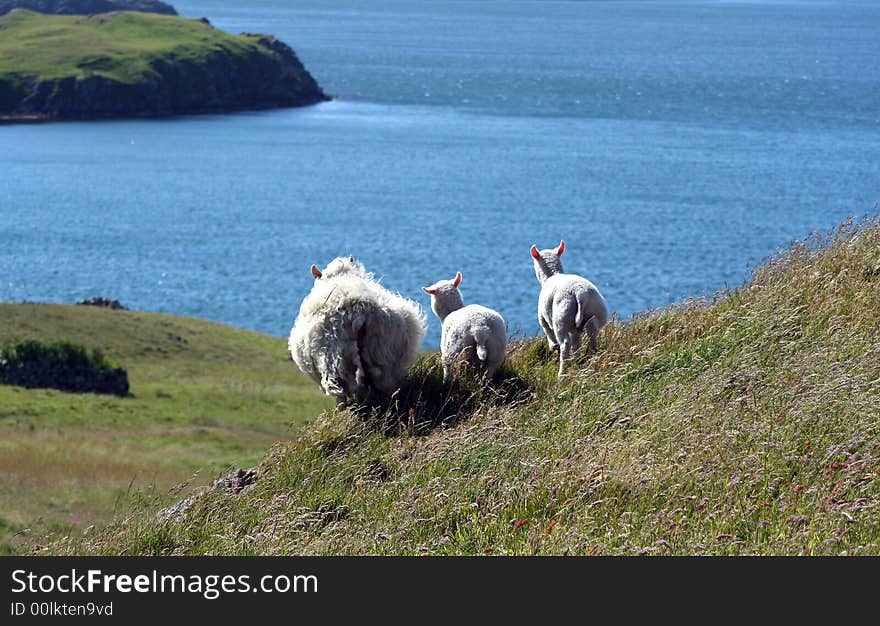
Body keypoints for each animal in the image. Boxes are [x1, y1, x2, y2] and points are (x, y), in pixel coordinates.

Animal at [528, 239, 612, 376]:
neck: (551, 275)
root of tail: (580, 294)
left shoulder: (542, 316)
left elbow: (547, 329)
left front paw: (553, 346)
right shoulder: (575, 329)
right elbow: (576, 343)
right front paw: (576, 357)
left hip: (562, 315)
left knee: (565, 343)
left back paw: (562, 373)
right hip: (597, 310)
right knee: (592, 332)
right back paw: (591, 359)